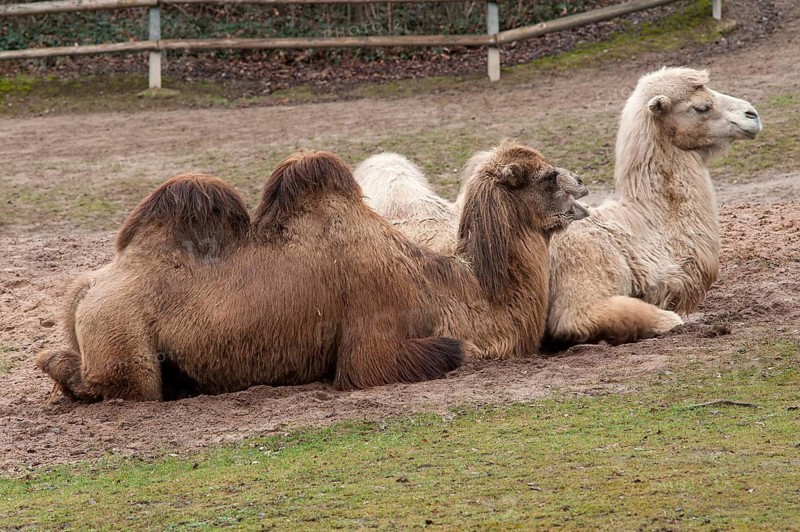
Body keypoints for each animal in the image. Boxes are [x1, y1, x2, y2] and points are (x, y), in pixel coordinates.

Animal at [37, 144, 587, 402]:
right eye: (546, 177)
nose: (582, 185)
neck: (450, 289)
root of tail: (88, 287)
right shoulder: (373, 336)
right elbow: (446, 352)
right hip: (123, 338)